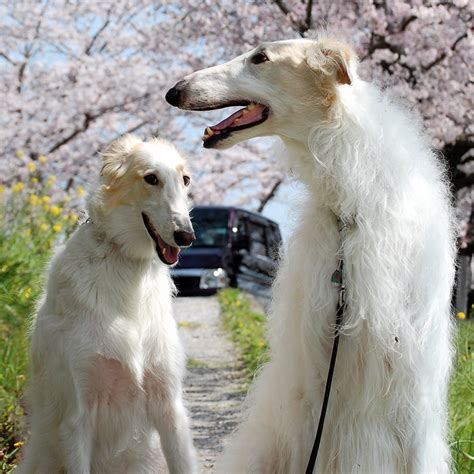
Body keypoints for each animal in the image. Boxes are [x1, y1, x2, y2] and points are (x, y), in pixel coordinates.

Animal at [19, 135, 198, 472]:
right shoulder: (78, 415)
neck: (128, 265)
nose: (186, 236)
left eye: (185, 179)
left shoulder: (169, 405)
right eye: (151, 178)